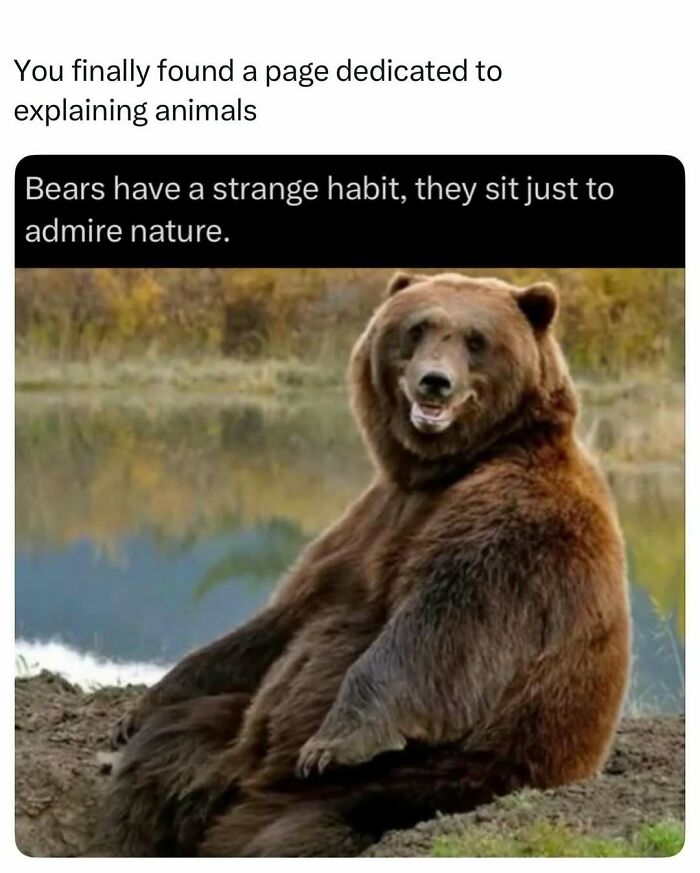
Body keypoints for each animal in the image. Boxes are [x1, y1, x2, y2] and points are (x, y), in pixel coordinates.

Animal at [98, 271, 630, 857]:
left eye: (476, 339)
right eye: (418, 328)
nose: (434, 382)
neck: (439, 471)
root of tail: (247, 791)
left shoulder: (514, 522)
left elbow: (447, 622)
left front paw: (335, 740)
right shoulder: (370, 522)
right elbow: (287, 618)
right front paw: (136, 710)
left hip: (435, 775)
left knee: (311, 828)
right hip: (226, 731)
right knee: (165, 754)